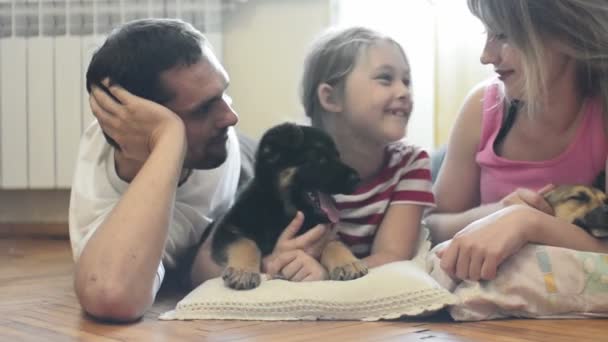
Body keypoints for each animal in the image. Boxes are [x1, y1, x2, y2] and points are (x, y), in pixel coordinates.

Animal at [211, 122, 368, 288]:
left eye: (338, 157)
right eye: (318, 158)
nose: (357, 179)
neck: (282, 211)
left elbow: (333, 243)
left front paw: (348, 262)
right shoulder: (228, 229)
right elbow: (246, 243)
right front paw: (243, 271)